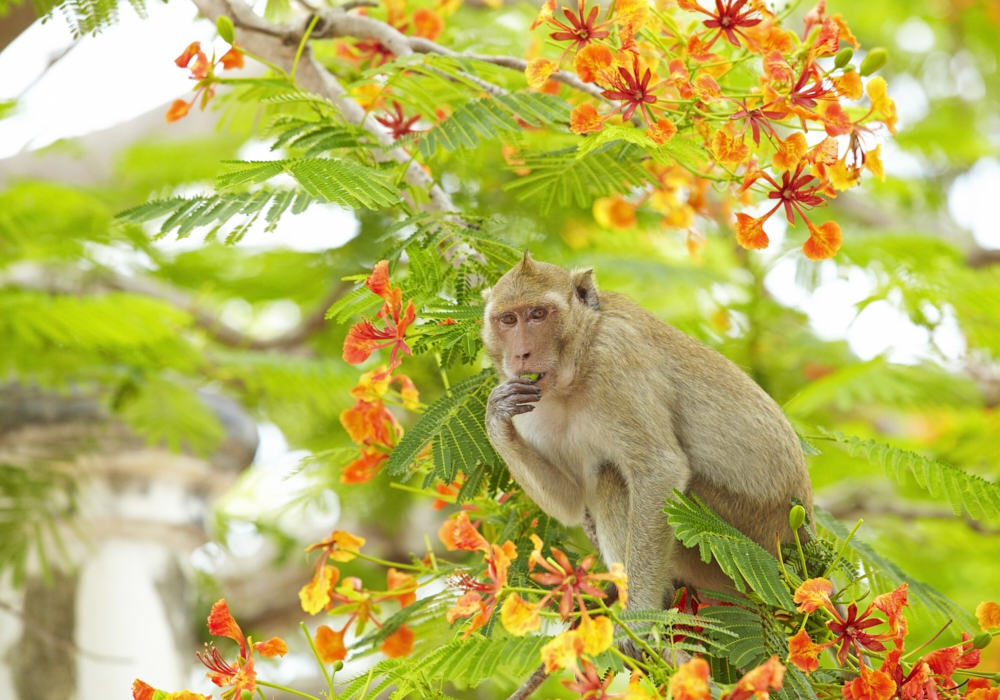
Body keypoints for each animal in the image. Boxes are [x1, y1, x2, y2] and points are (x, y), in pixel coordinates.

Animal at [482, 256, 812, 640]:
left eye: (538, 314)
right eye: (508, 319)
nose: (521, 353)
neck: (577, 366)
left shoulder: (616, 360)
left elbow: (659, 471)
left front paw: (638, 621)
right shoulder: (530, 400)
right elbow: (571, 501)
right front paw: (496, 415)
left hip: (742, 538)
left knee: (617, 476)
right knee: (605, 478)